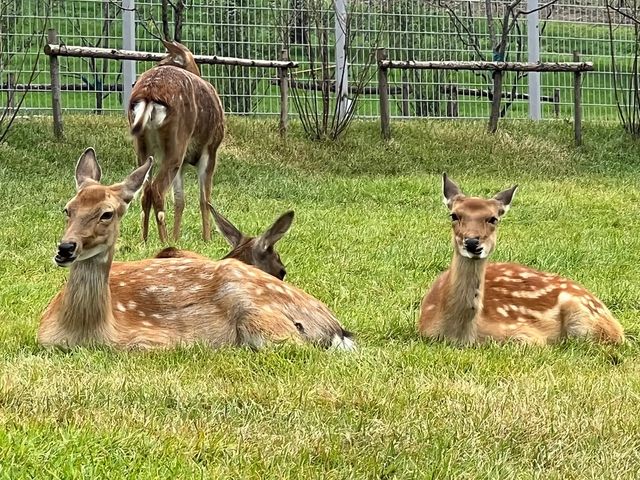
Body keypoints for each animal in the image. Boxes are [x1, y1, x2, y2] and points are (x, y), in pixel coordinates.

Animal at [127, 40, 225, 244]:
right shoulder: (211, 149)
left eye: (161, 60)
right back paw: (163, 240)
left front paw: (177, 237)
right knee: (156, 189)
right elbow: (205, 199)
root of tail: (149, 94)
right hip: (176, 141)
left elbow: (180, 200)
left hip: (142, 146)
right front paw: (207, 238)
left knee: (145, 190)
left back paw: (145, 240)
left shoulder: (184, 162)